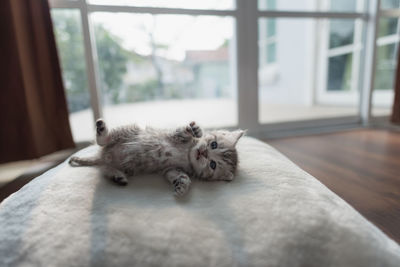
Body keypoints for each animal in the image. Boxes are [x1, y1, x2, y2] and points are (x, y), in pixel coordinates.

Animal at [69, 119, 244, 197]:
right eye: (213, 144)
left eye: (213, 165)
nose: (203, 153)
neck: (187, 154)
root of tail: (103, 156)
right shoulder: (170, 134)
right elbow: (182, 131)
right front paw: (195, 130)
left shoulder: (170, 169)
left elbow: (180, 176)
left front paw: (182, 186)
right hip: (129, 130)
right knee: (103, 140)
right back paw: (102, 131)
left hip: (117, 165)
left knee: (105, 170)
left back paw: (118, 177)